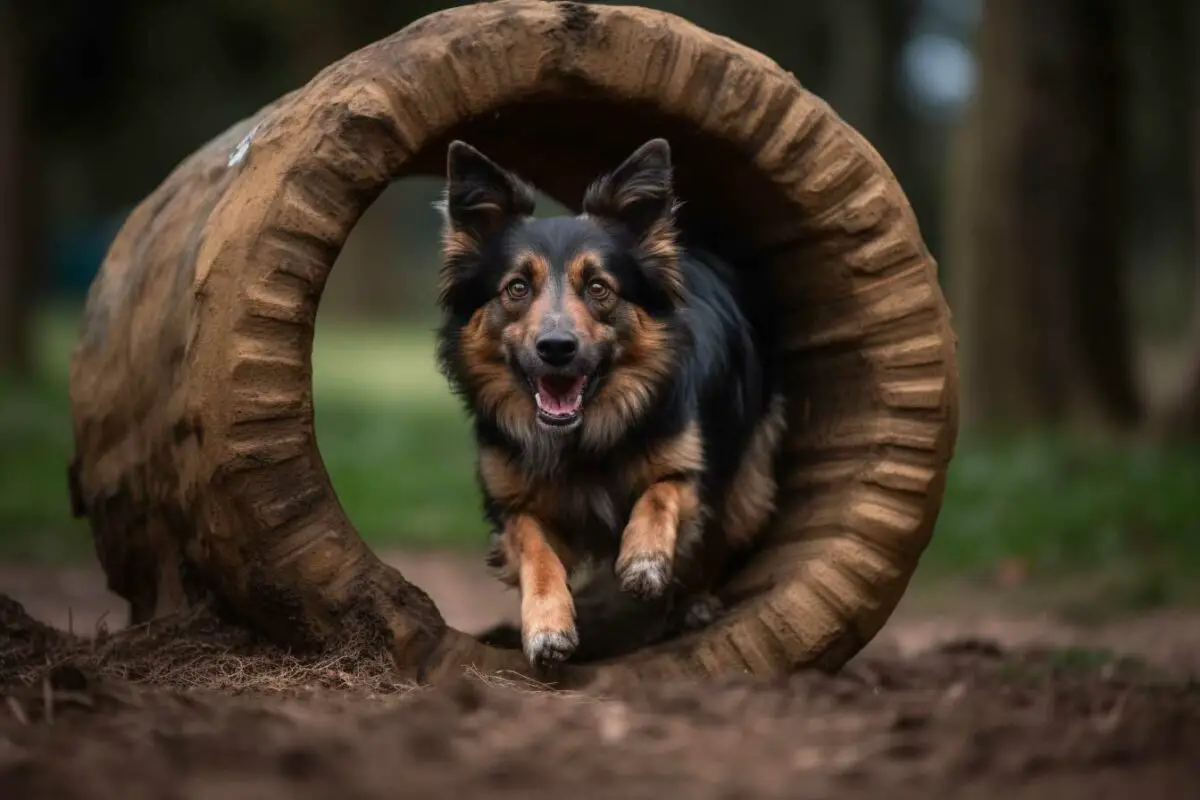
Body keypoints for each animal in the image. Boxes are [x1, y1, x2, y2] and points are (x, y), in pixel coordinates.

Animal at [432, 139, 787, 671]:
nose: (557, 348)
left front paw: (643, 560)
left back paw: (697, 603)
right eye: (517, 287)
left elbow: (661, 492)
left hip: (749, 484)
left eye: (598, 287)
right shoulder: (511, 502)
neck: (583, 434)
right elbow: (535, 549)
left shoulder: (690, 464)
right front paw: (547, 627)